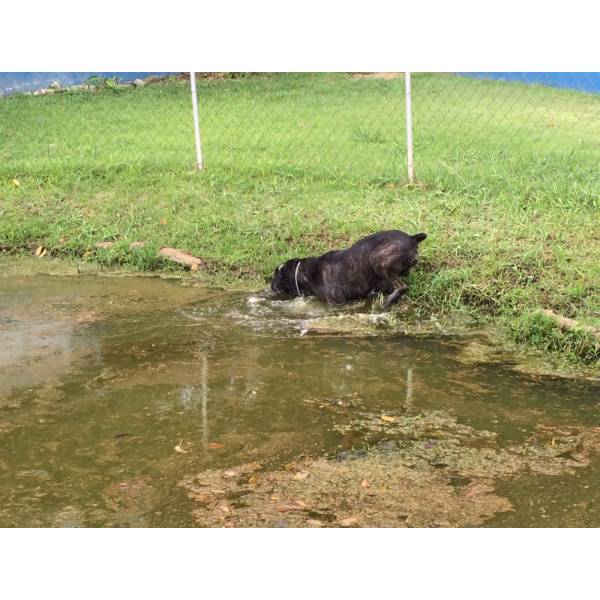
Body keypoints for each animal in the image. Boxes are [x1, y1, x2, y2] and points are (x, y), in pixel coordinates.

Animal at [272, 227, 426, 308]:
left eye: (274, 277)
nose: (271, 285)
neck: (304, 272)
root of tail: (412, 238)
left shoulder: (336, 302)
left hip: (377, 260)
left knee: (402, 287)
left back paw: (386, 303)